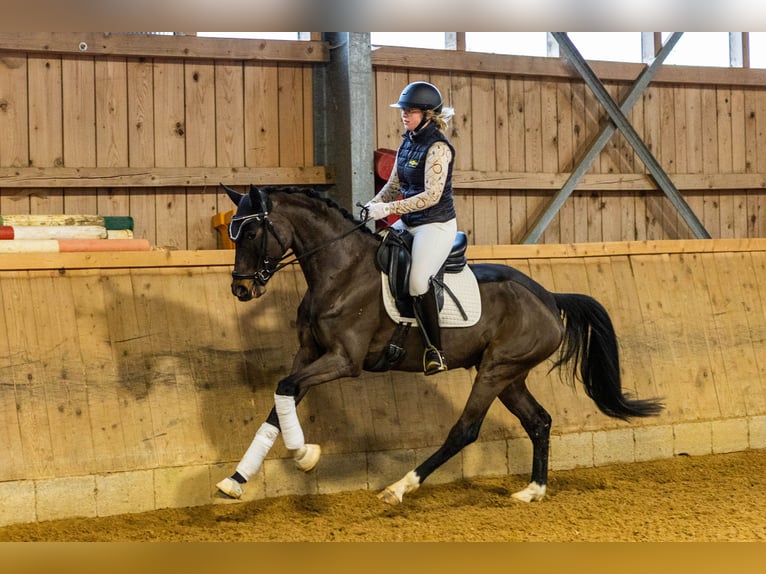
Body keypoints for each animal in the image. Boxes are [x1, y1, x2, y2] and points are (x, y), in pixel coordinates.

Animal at [215, 184, 663, 504]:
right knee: (539, 421)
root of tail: (549, 298)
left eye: (251, 230)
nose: (240, 289)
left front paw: (305, 455)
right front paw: (235, 480)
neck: (341, 270)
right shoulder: (308, 354)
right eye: (234, 231)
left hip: (495, 371)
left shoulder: (343, 360)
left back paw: (400, 488)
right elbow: (280, 399)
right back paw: (532, 491)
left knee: (465, 430)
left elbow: (286, 389)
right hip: (509, 375)